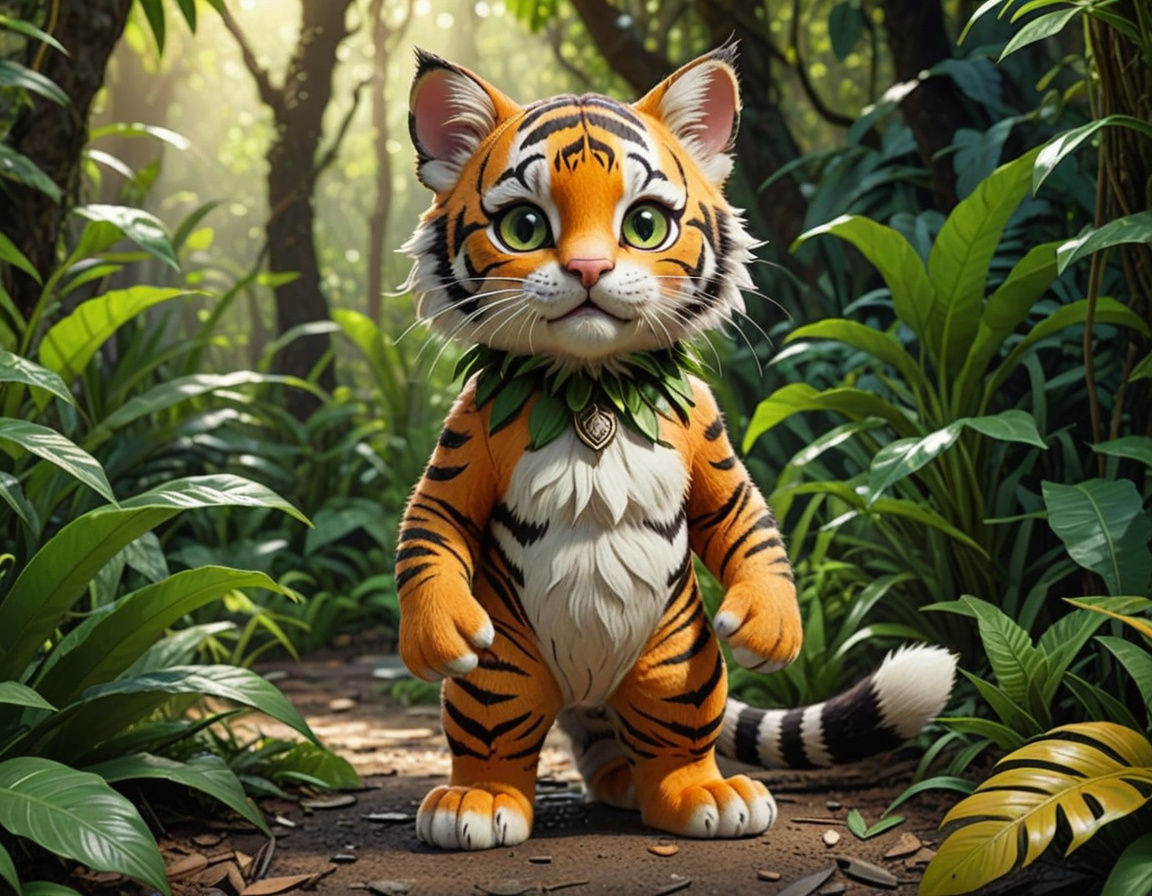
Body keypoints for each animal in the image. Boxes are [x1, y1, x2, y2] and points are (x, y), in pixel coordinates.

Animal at [396, 44, 956, 850]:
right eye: (526, 227)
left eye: (645, 224)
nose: (589, 270)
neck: (591, 386)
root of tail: (586, 690)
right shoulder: (466, 442)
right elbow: (430, 530)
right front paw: (437, 634)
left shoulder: (711, 443)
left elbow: (750, 529)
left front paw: (772, 626)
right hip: (503, 673)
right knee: (500, 738)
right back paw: (478, 803)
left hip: (679, 666)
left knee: (667, 738)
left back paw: (695, 796)